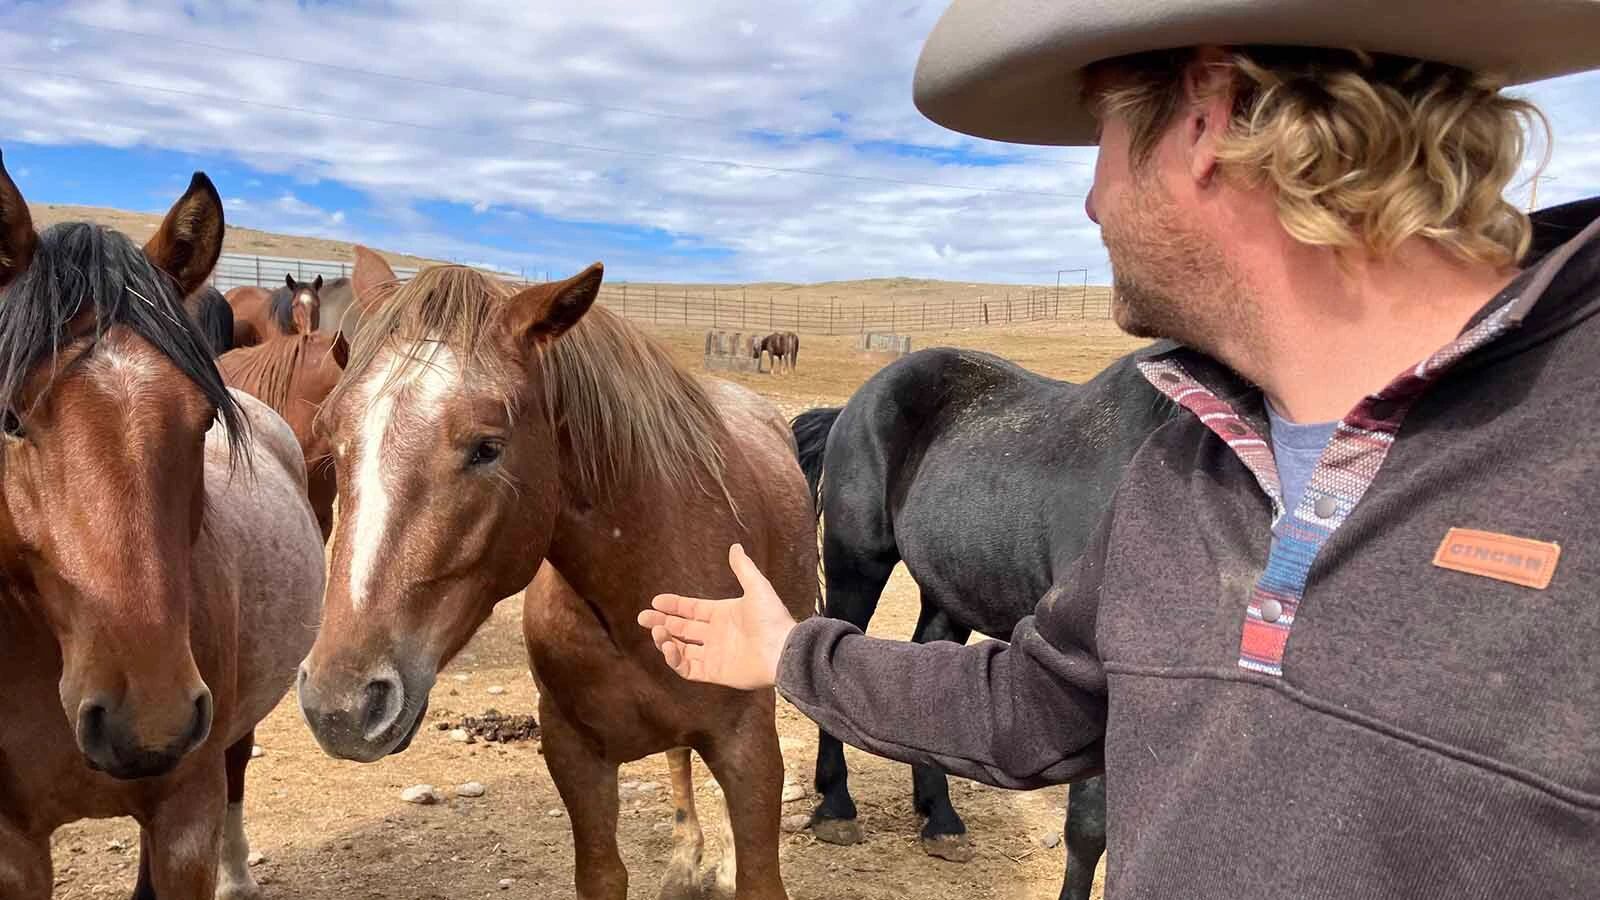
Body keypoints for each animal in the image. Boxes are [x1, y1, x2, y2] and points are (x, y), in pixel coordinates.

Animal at [0, 156, 325, 900]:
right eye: (8, 419)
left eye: (203, 419)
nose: (148, 719)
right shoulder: (11, 848)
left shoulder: (184, 821)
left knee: (236, 769)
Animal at [297, 247, 817, 900]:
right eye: (334, 440)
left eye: (487, 447)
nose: (339, 706)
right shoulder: (574, 755)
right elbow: (603, 871)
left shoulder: (749, 748)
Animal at [789, 345, 1180, 900]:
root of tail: (855, 403)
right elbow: (1090, 826)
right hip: (857, 562)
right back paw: (836, 807)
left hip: (948, 589)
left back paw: (941, 818)